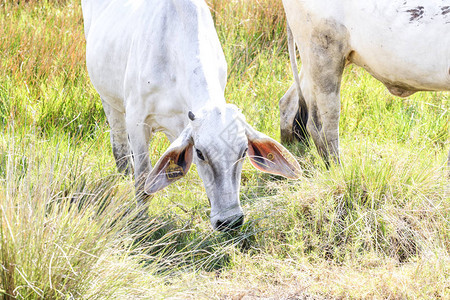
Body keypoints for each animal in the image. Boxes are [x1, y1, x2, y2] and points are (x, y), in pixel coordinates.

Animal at [81, 0, 300, 232]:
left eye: (243, 152)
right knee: (120, 143)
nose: (230, 221)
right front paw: (142, 221)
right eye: (201, 153)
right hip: (109, 99)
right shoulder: (137, 121)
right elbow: (142, 179)